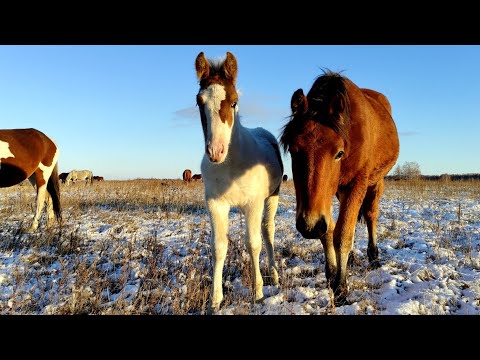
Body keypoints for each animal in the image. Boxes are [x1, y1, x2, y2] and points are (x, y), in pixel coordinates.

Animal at [195, 50, 284, 312]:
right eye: (199, 102)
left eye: (234, 101)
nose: (215, 151)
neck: (231, 165)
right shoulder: (216, 205)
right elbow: (218, 247)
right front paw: (215, 301)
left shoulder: (253, 204)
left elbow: (253, 244)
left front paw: (258, 293)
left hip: (272, 197)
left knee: (267, 230)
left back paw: (274, 274)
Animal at [280, 71, 400, 306]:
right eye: (294, 150)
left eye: (339, 152)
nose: (309, 226)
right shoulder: (328, 195)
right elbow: (329, 232)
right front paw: (332, 274)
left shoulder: (357, 184)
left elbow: (343, 234)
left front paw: (341, 288)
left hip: (375, 183)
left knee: (370, 215)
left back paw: (374, 257)